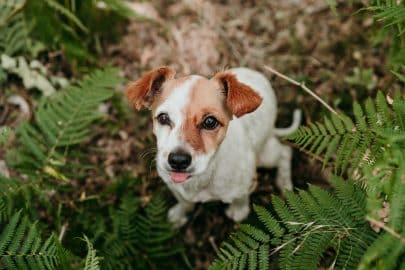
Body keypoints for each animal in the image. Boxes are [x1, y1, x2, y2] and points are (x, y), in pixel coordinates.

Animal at [125, 66, 300, 227]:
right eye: (163, 118)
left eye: (210, 122)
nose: (178, 161)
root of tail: (255, 73)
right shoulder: (174, 187)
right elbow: (184, 202)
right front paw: (179, 215)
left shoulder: (246, 183)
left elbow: (241, 198)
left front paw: (239, 211)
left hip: (265, 156)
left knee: (285, 151)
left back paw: (284, 183)